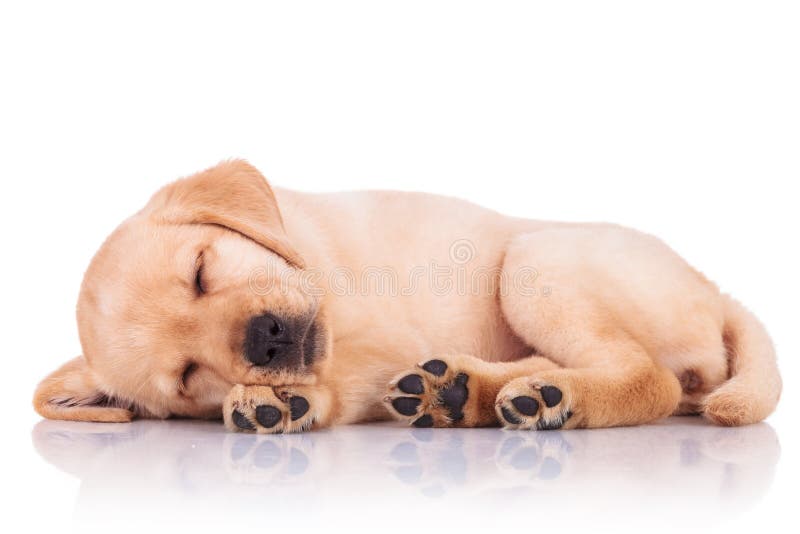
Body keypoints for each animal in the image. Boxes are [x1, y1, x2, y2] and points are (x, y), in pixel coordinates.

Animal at [32, 161, 780, 434]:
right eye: (187, 377)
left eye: (201, 271)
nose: (265, 340)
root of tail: (719, 292)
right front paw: (273, 395)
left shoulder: (374, 337)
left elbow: (337, 377)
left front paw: (286, 399)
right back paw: (464, 393)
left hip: (534, 260)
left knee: (649, 378)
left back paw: (547, 399)